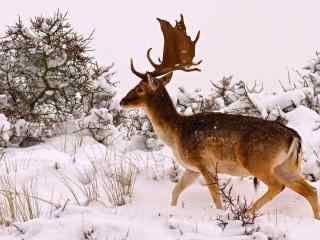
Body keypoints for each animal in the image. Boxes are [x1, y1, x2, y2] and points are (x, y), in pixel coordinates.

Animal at [120, 15, 320, 218]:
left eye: (139, 88)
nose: (122, 101)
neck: (175, 134)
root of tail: (294, 137)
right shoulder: (191, 168)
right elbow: (176, 191)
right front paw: (172, 209)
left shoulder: (202, 162)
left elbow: (215, 196)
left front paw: (221, 213)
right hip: (287, 166)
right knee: (310, 190)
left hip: (258, 162)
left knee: (278, 186)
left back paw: (247, 211)